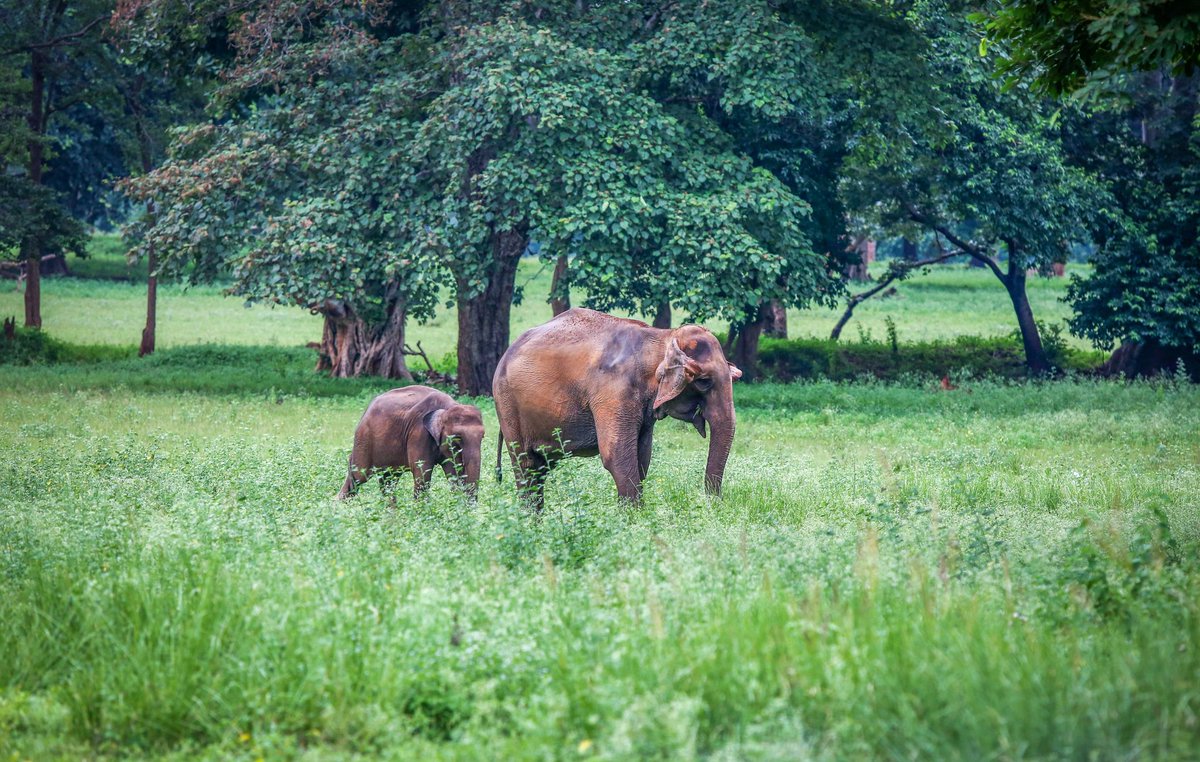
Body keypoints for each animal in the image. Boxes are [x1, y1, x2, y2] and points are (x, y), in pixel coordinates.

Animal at [338, 385, 485, 501]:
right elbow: (422, 474)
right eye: (457, 438)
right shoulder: (419, 434)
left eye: (482, 437)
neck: (447, 408)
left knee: (388, 481)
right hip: (364, 439)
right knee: (358, 476)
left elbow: (453, 473)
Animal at [493, 308, 741, 509]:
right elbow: (618, 455)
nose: (711, 505)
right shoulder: (612, 391)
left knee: (540, 469)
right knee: (526, 466)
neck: (661, 337)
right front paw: (635, 522)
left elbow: (642, 457)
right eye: (704, 382)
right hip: (507, 404)